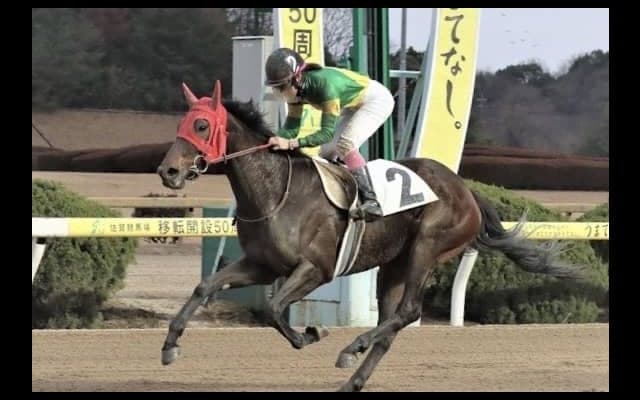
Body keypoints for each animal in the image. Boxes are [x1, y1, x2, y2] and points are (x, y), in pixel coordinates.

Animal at [156, 80, 583, 392]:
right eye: (180, 125)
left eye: (201, 126)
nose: (168, 172)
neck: (277, 190)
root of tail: (465, 189)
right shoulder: (261, 264)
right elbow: (206, 286)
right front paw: (169, 346)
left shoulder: (316, 268)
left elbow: (276, 308)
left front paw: (312, 333)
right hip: (393, 265)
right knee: (392, 324)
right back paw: (353, 378)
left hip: (427, 247)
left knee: (409, 311)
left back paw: (351, 348)